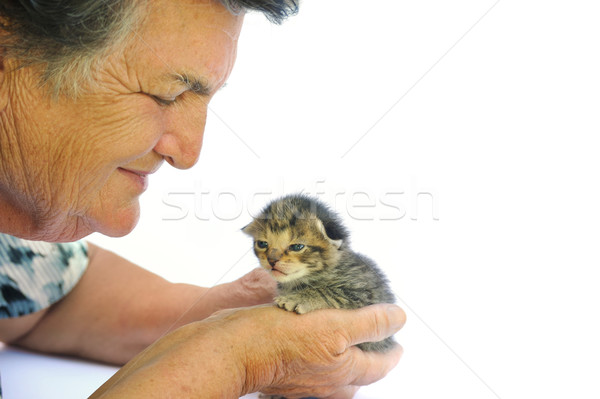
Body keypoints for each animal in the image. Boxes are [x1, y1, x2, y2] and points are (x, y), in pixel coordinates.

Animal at [241, 194, 396, 354]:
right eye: (262, 244)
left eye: (297, 246)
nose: (272, 260)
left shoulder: (365, 292)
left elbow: (328, 291)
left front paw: (297, 298)